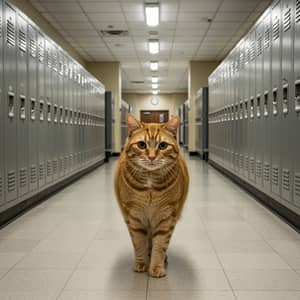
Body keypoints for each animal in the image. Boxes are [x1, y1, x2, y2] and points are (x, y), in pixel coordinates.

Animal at [114, 114, 188, 276]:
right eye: (142, 145)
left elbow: (160, 244)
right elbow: (138, 242)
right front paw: (141, 263)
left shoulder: (166, 216)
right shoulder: (134, 215)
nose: (152, 157)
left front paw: (156, 266)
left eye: (162, 146)